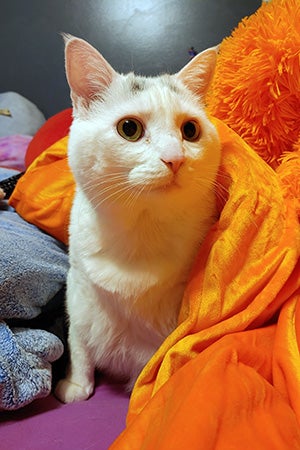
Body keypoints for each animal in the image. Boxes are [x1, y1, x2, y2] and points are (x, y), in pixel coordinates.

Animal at [55, 33, 221, 402]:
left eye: (190, 130)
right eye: (129, 128)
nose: (175, 159)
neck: (141, 228)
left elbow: (155, 360)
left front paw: (143, 393)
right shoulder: (79, 287)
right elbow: (79, 341)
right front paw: (78, 384)